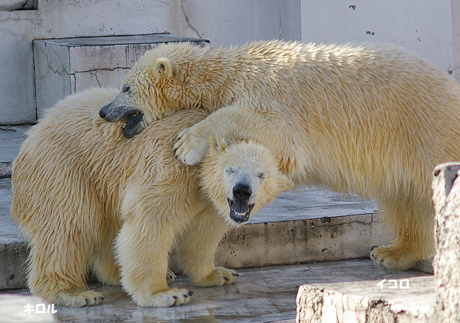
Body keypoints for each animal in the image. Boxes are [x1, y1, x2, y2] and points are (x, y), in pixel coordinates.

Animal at [11, 87, 294, 308]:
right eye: (230, 169)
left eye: (261, 175)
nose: (241, 191)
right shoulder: (171, 165)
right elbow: (150, 221)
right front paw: (166, 295)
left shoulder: (208, 200)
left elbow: (202, 232)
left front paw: (218, 274)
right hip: (62, 167)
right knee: (68, 225)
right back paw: (74, 293)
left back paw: (119, 272)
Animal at [99, 41, 460, 274]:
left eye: (126, 87)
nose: (104, 111)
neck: (228, 71)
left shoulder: (271, 95)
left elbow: (270, 132)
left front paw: (185, 144)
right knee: (404, 199)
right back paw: (392, 253)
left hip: (426, 132)